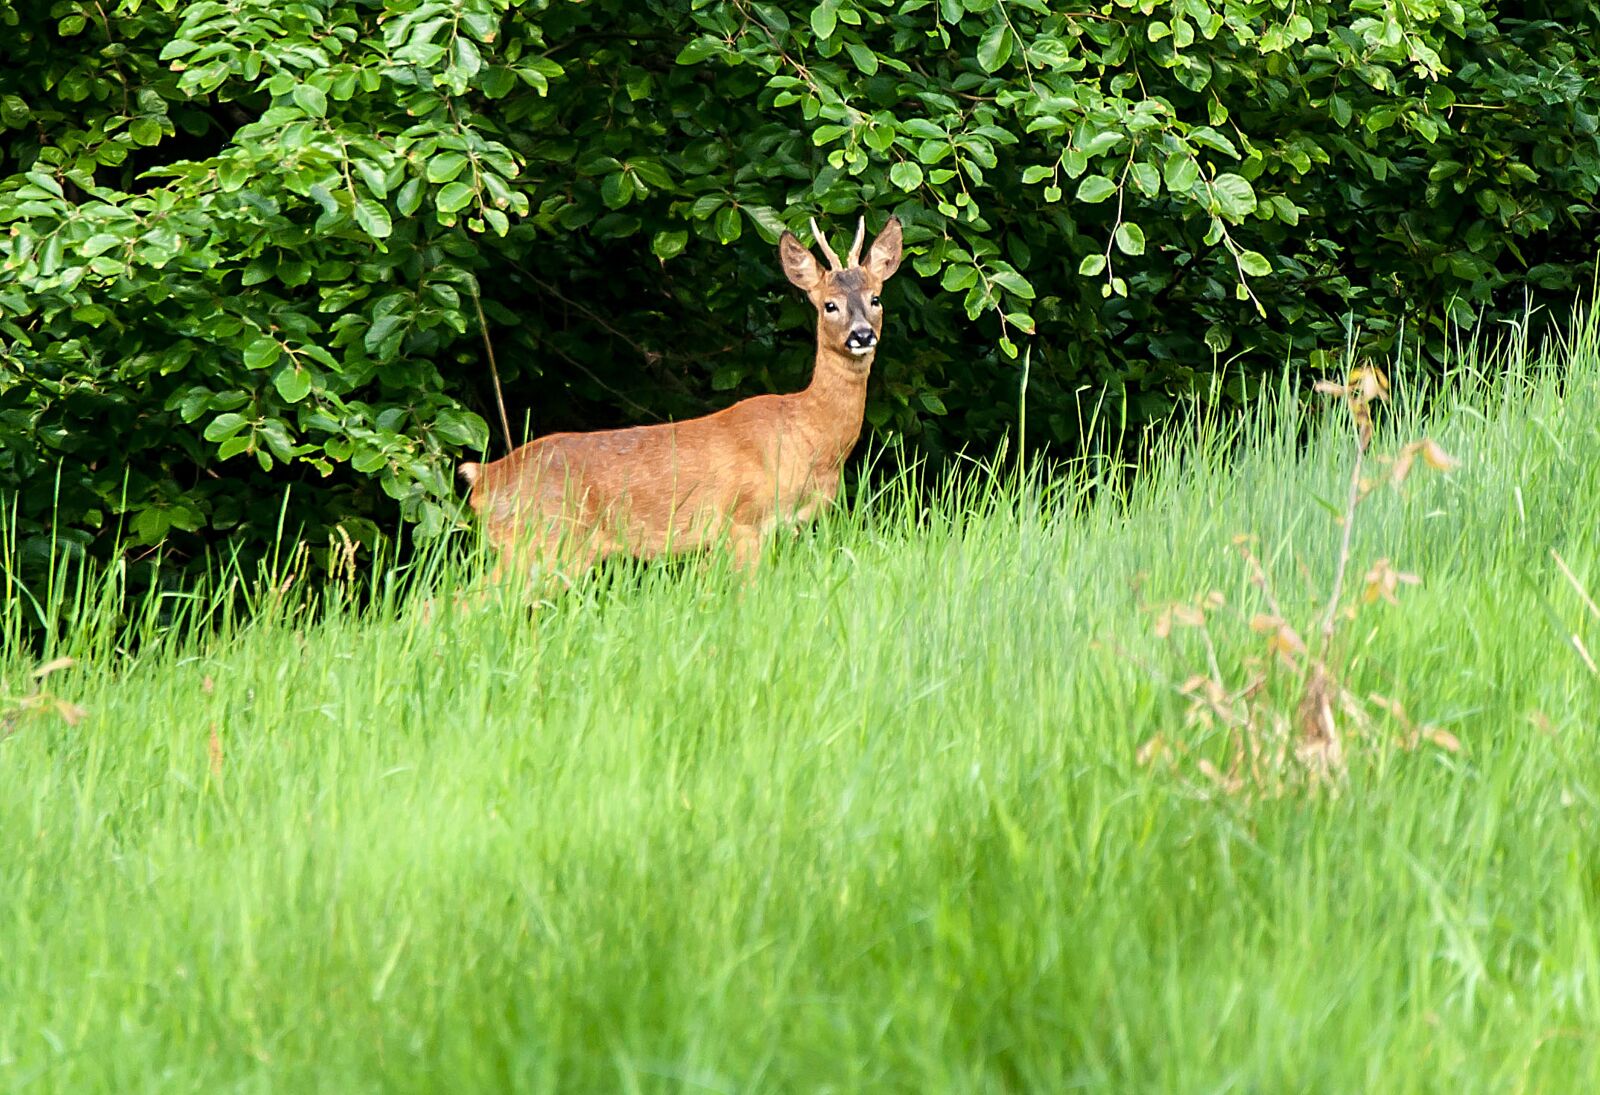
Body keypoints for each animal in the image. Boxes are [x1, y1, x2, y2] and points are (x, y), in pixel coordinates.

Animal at [457, 213, 904, 594]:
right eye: (829, 305)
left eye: (875, 299)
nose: (862, 335)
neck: (809, 433)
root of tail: (485, 478)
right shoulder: (744, 521)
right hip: (543, 542)